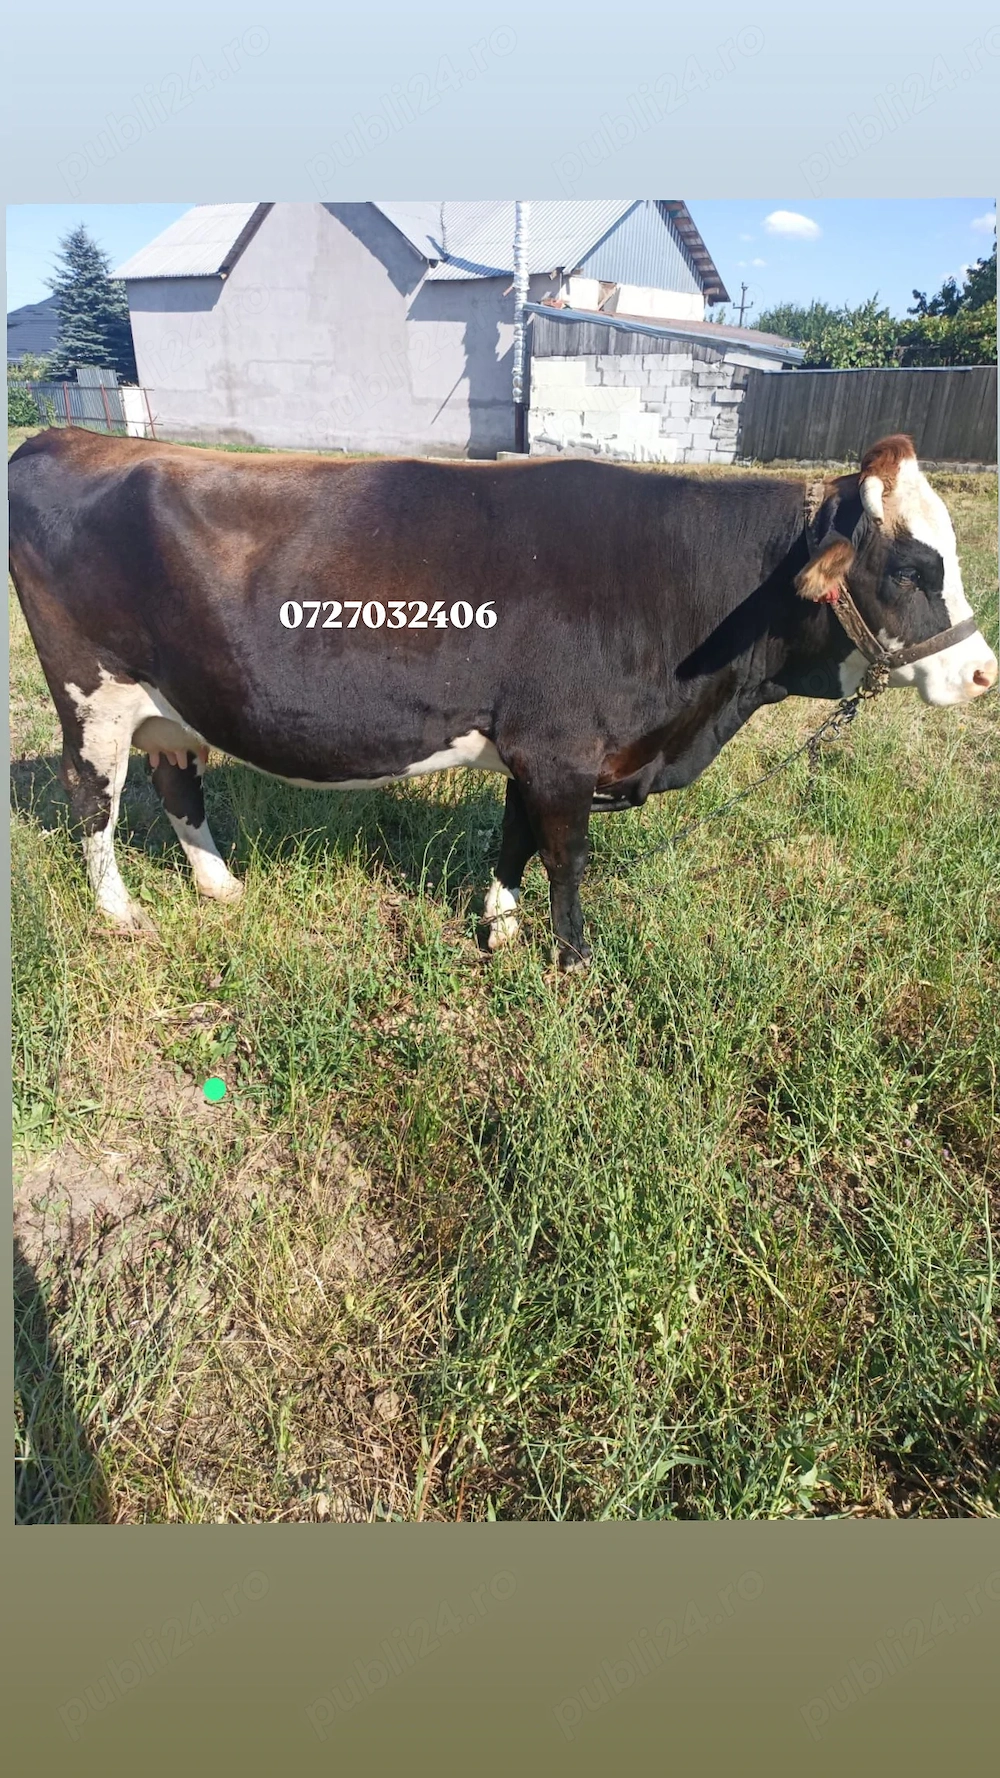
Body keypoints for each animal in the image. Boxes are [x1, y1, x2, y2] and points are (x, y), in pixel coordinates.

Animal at [8, 427, 997, 970]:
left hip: (169, 700)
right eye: (913, 569)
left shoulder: (537, 745)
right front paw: (575, 960)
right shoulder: (562, 747)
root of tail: (65, 438)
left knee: (177, 780)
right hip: (90, 692)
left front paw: (503, 928)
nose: (985, 672)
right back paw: (123, 914)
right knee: (90, 798)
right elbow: (565, 855)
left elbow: (515, 838)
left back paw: (219, 888)